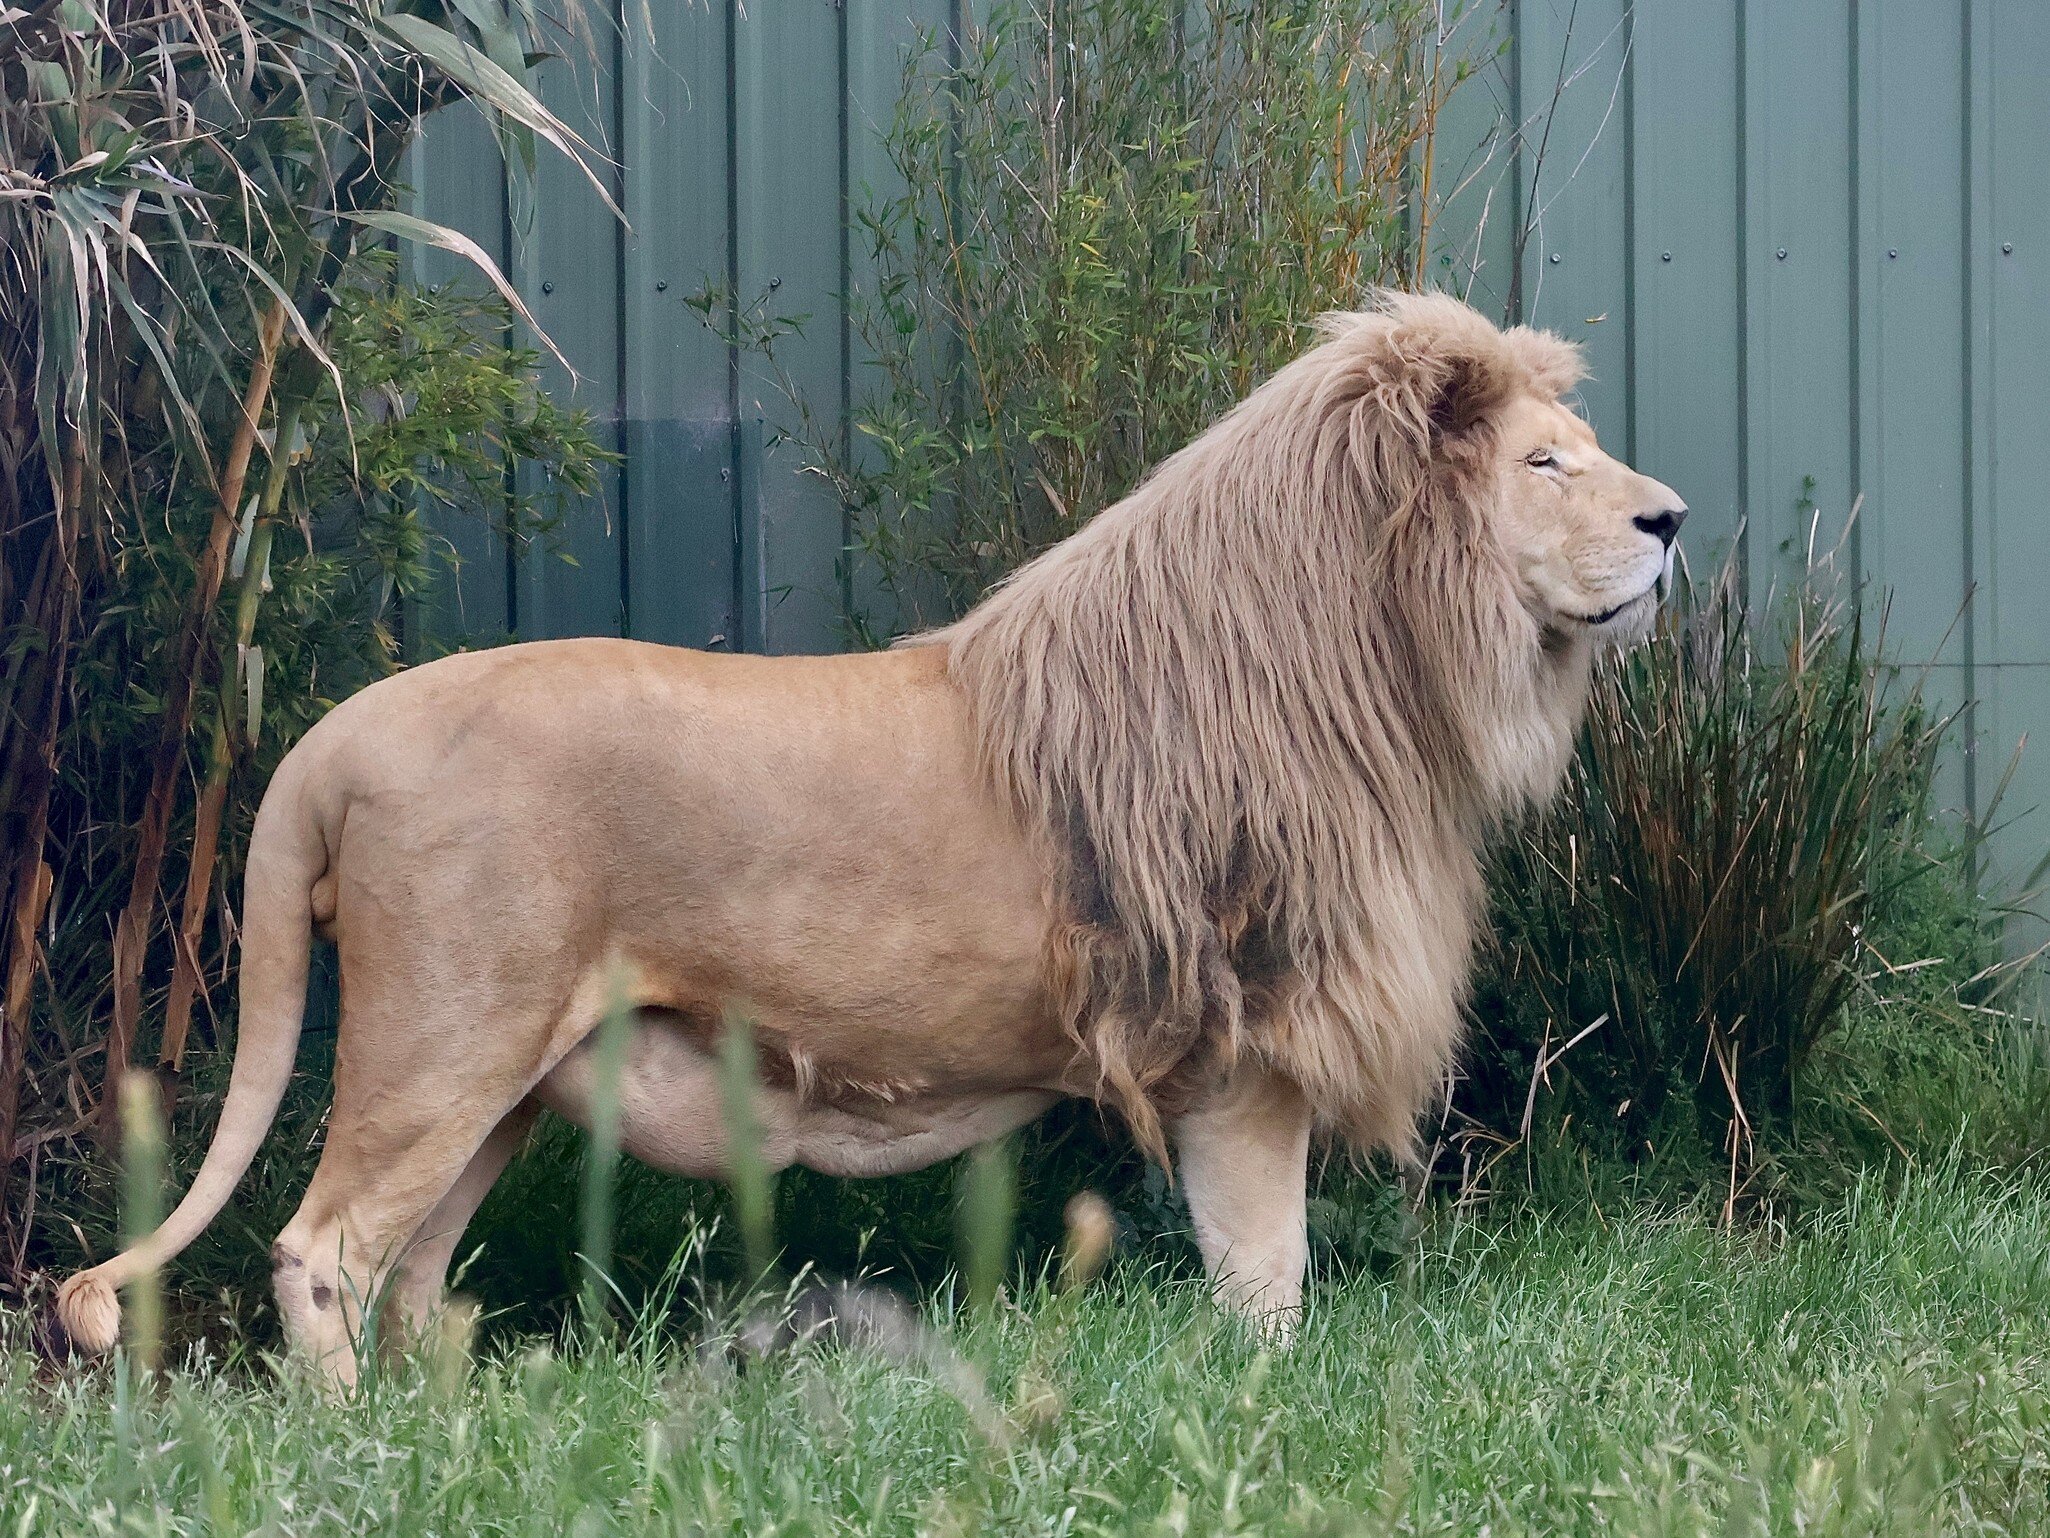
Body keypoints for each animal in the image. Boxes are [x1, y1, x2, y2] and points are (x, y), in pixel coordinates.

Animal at [56, 291, 1683, 1381]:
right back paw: (360, 1448)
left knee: (412, 1271)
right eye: (1545, 465)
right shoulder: (1238, 1041)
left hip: (503, 1075)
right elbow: (1263, 1268)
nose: (1670, 519)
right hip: (440, 1039)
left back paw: (446, 1430)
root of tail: (329, 738)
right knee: (320, 1254)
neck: (1395, 672)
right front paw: (1266, 1400)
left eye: (1586, 451)